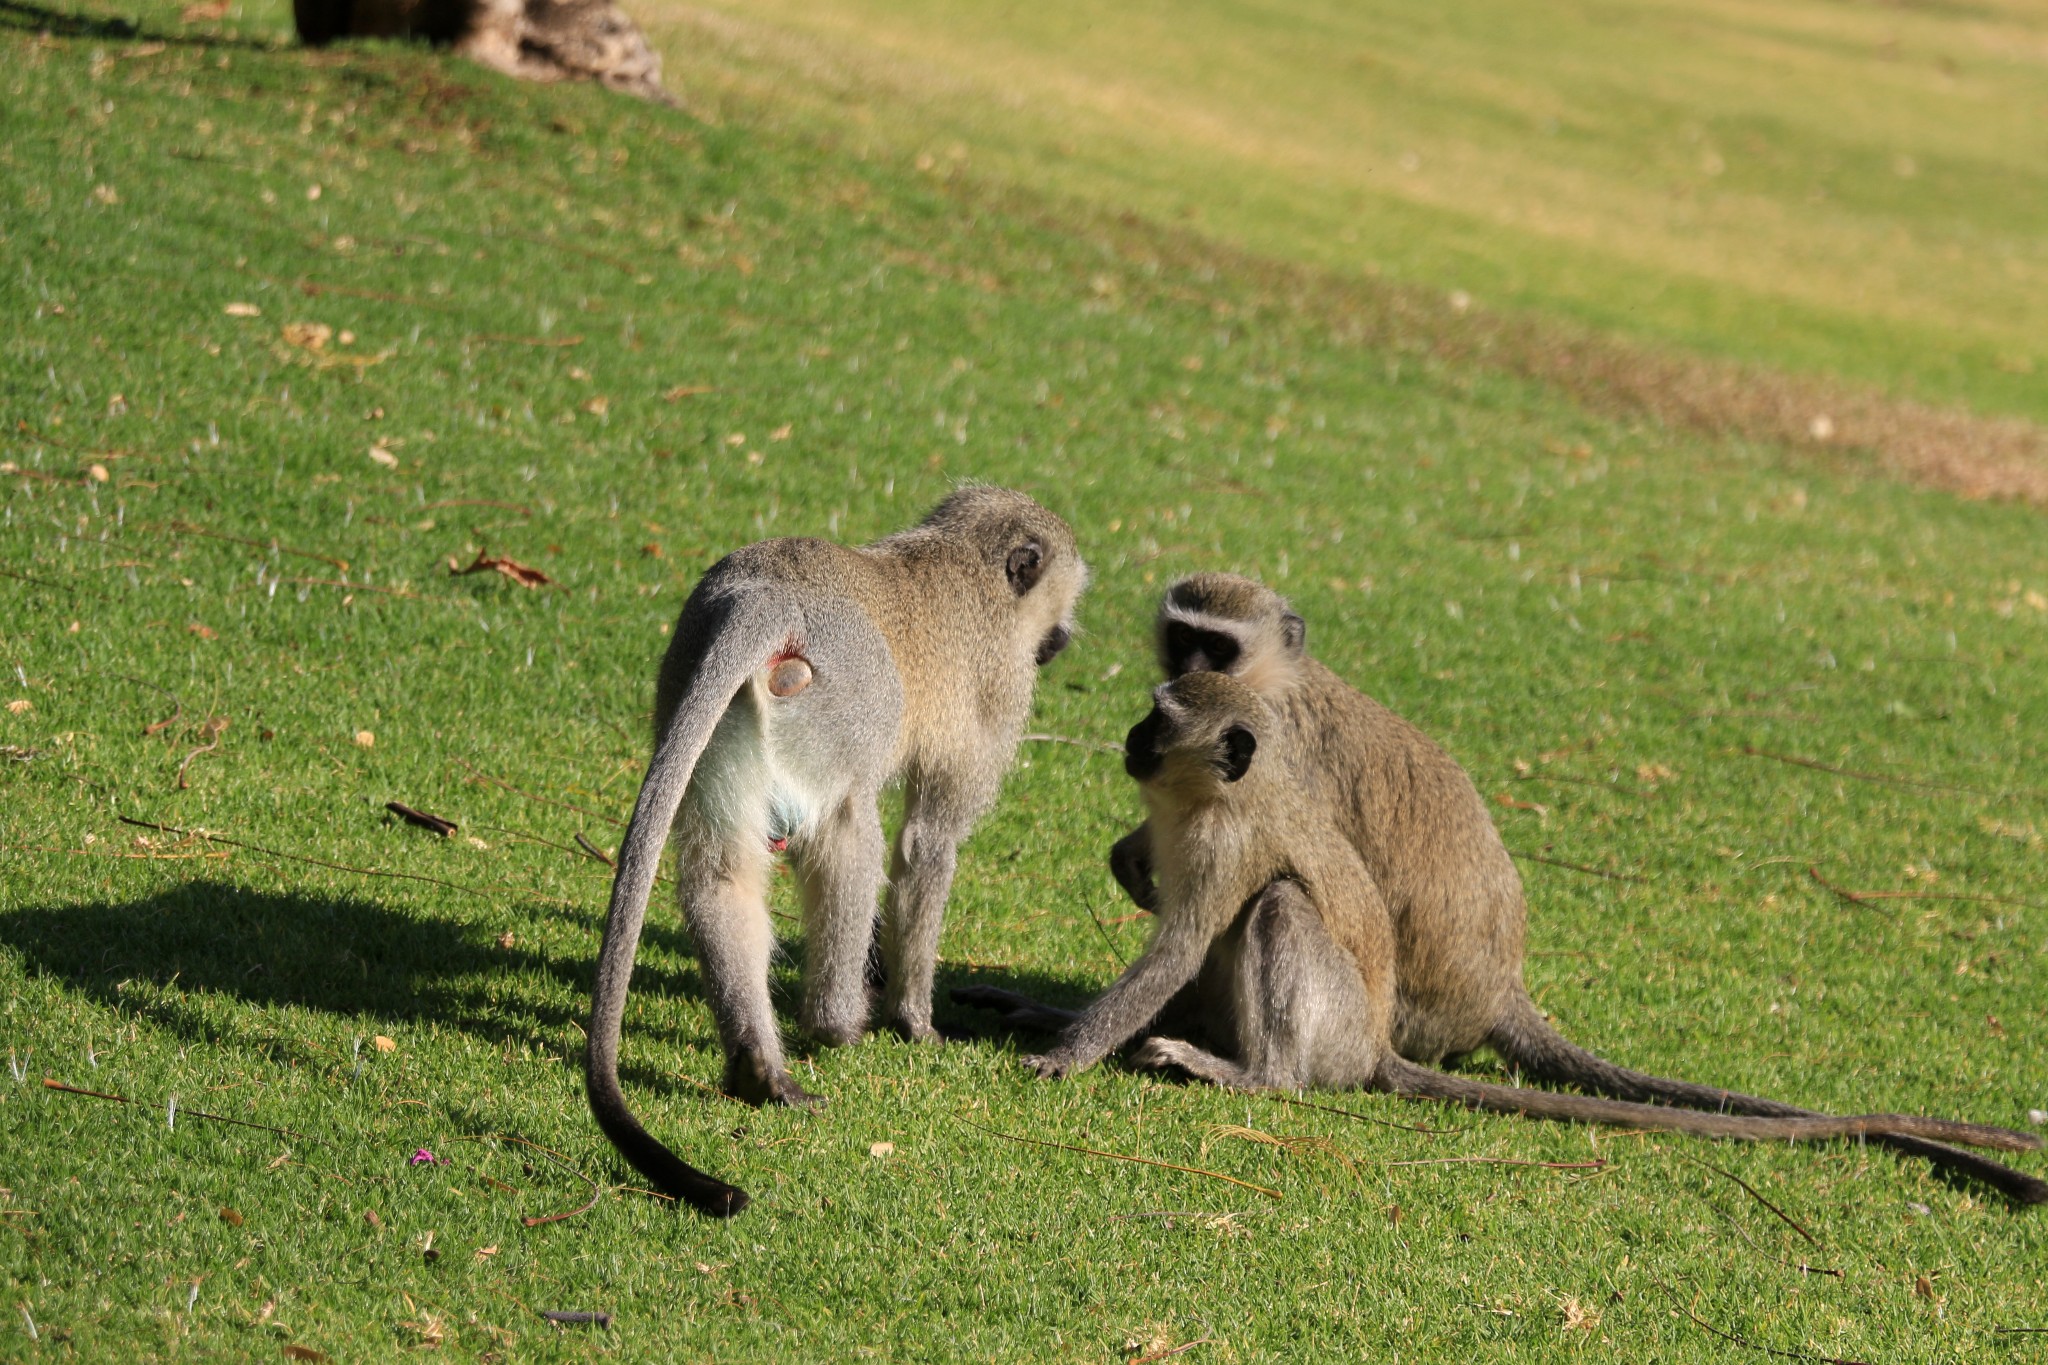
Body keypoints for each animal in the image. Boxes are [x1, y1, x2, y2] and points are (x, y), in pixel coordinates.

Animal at [589, 489, 1089, 1219]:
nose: (1061, 639)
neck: (959, 557)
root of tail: (766, 599)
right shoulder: (1000, 683)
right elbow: (927, 844)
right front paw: (916, 1022)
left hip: (713, 715)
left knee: (721, 874)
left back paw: (760, 1070)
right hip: (839, 718)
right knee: (851, 833)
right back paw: (836, 1024)